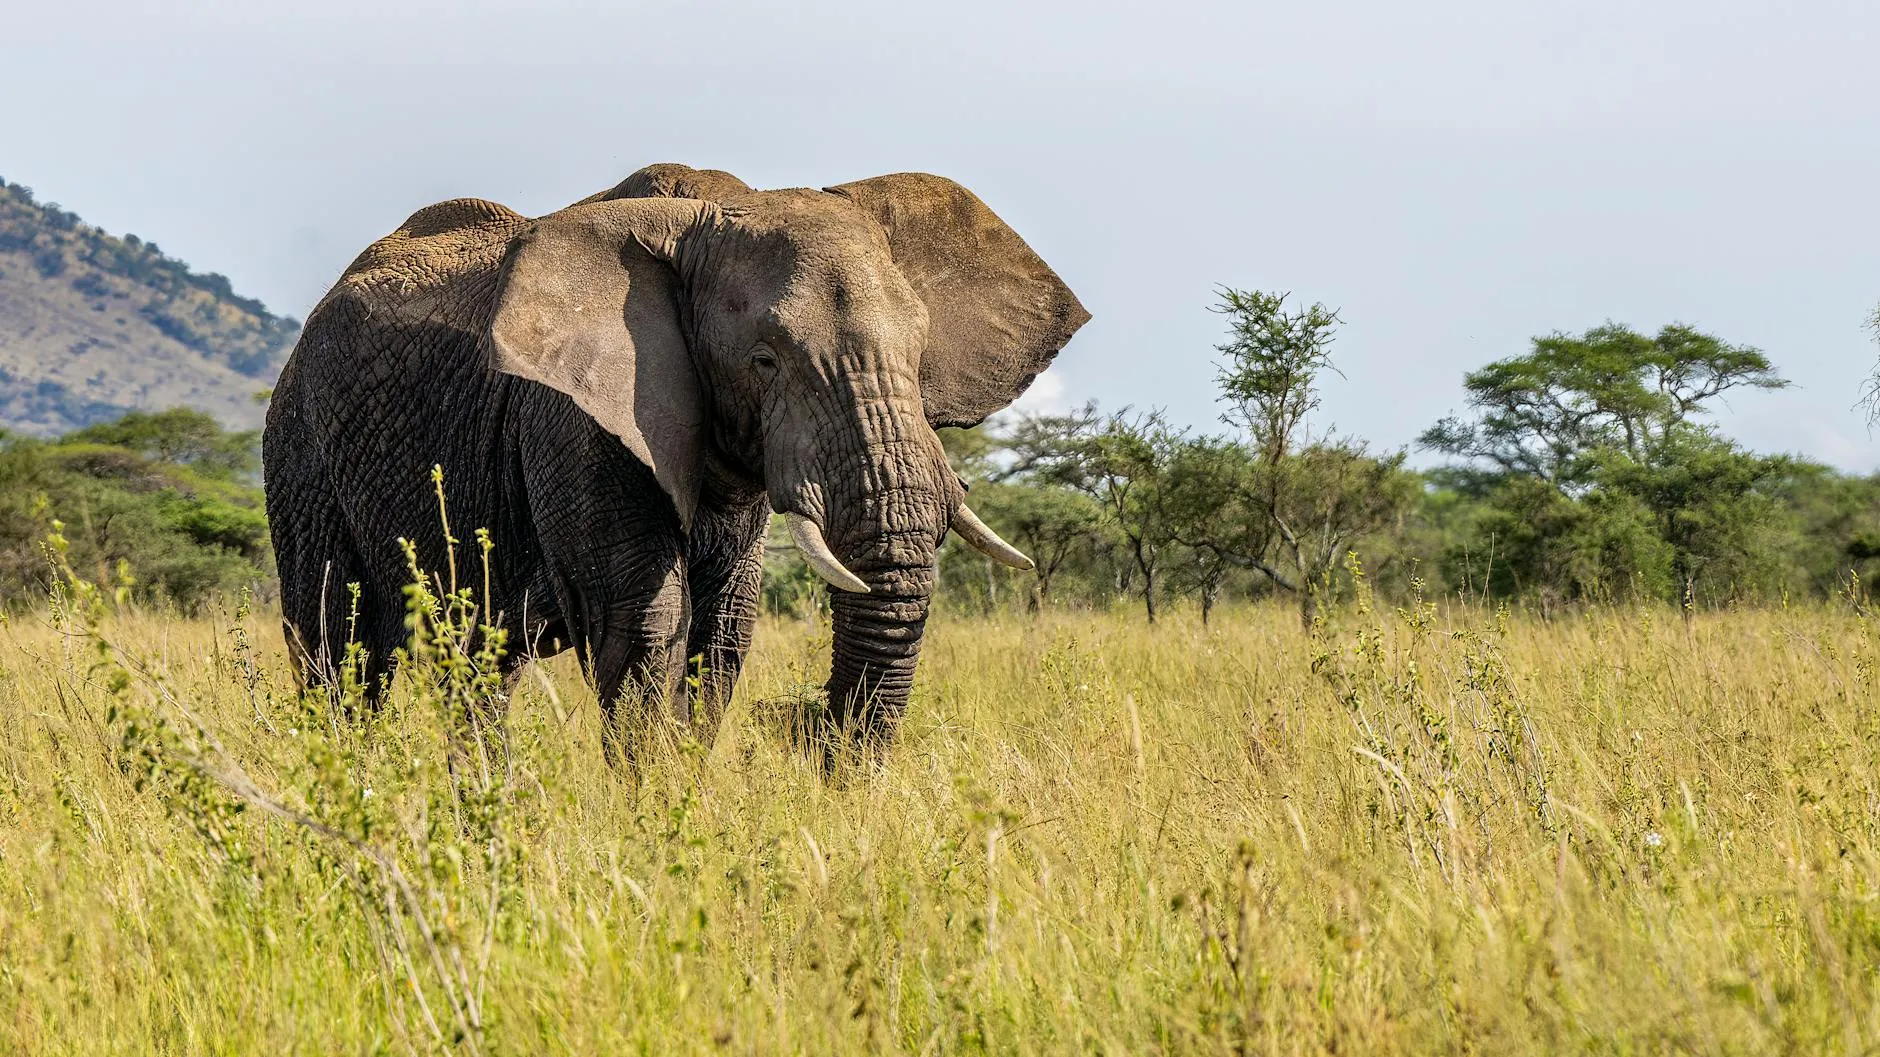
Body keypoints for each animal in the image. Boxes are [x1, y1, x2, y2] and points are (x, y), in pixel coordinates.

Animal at [262, 163, 1088, 764]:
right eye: (765, 359)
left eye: (919, 354)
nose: (810, 736)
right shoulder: (575, 420)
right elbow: (642, 627)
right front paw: (655, 828)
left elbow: (723, 632)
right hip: (299, 444)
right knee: (338, 649)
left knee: (479, 665)